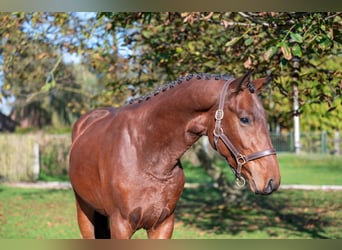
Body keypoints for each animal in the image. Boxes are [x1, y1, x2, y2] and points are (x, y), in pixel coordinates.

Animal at [69, 72, 280, 238]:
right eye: (245, 119)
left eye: (267, 118)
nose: (272, 181)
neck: (146, 154)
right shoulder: (120, 226)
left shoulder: (164, 224)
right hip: (84, 211)